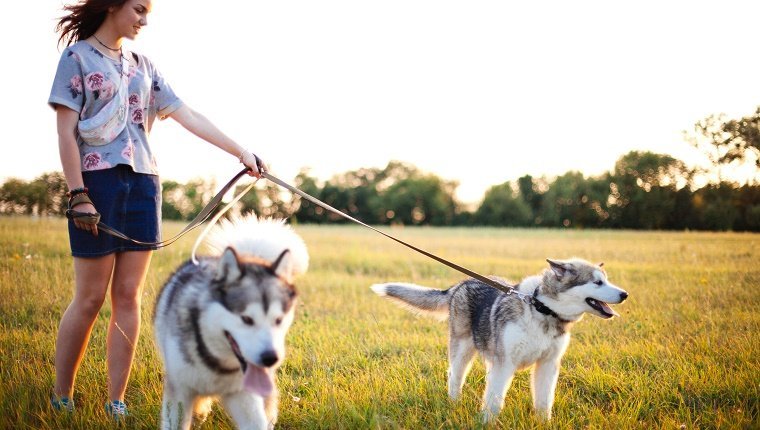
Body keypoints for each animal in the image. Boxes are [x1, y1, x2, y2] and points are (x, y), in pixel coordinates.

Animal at [154, 217, 308, 430]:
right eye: (246, 319)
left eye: (278, 320)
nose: (270, 358)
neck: (218, 364)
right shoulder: (179, 391)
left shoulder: (245, 395)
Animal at [372, 256, 628, 422]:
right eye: (597, 282)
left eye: (606, 280)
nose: (625, 294)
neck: (542, 310)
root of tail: (461, 284)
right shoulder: (505, 363)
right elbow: (495, 400)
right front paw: (487, 423)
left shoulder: (548, 364)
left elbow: (544, 401)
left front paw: (544, 423)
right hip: (463, 349)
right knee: (454, 377)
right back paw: (454, 403)